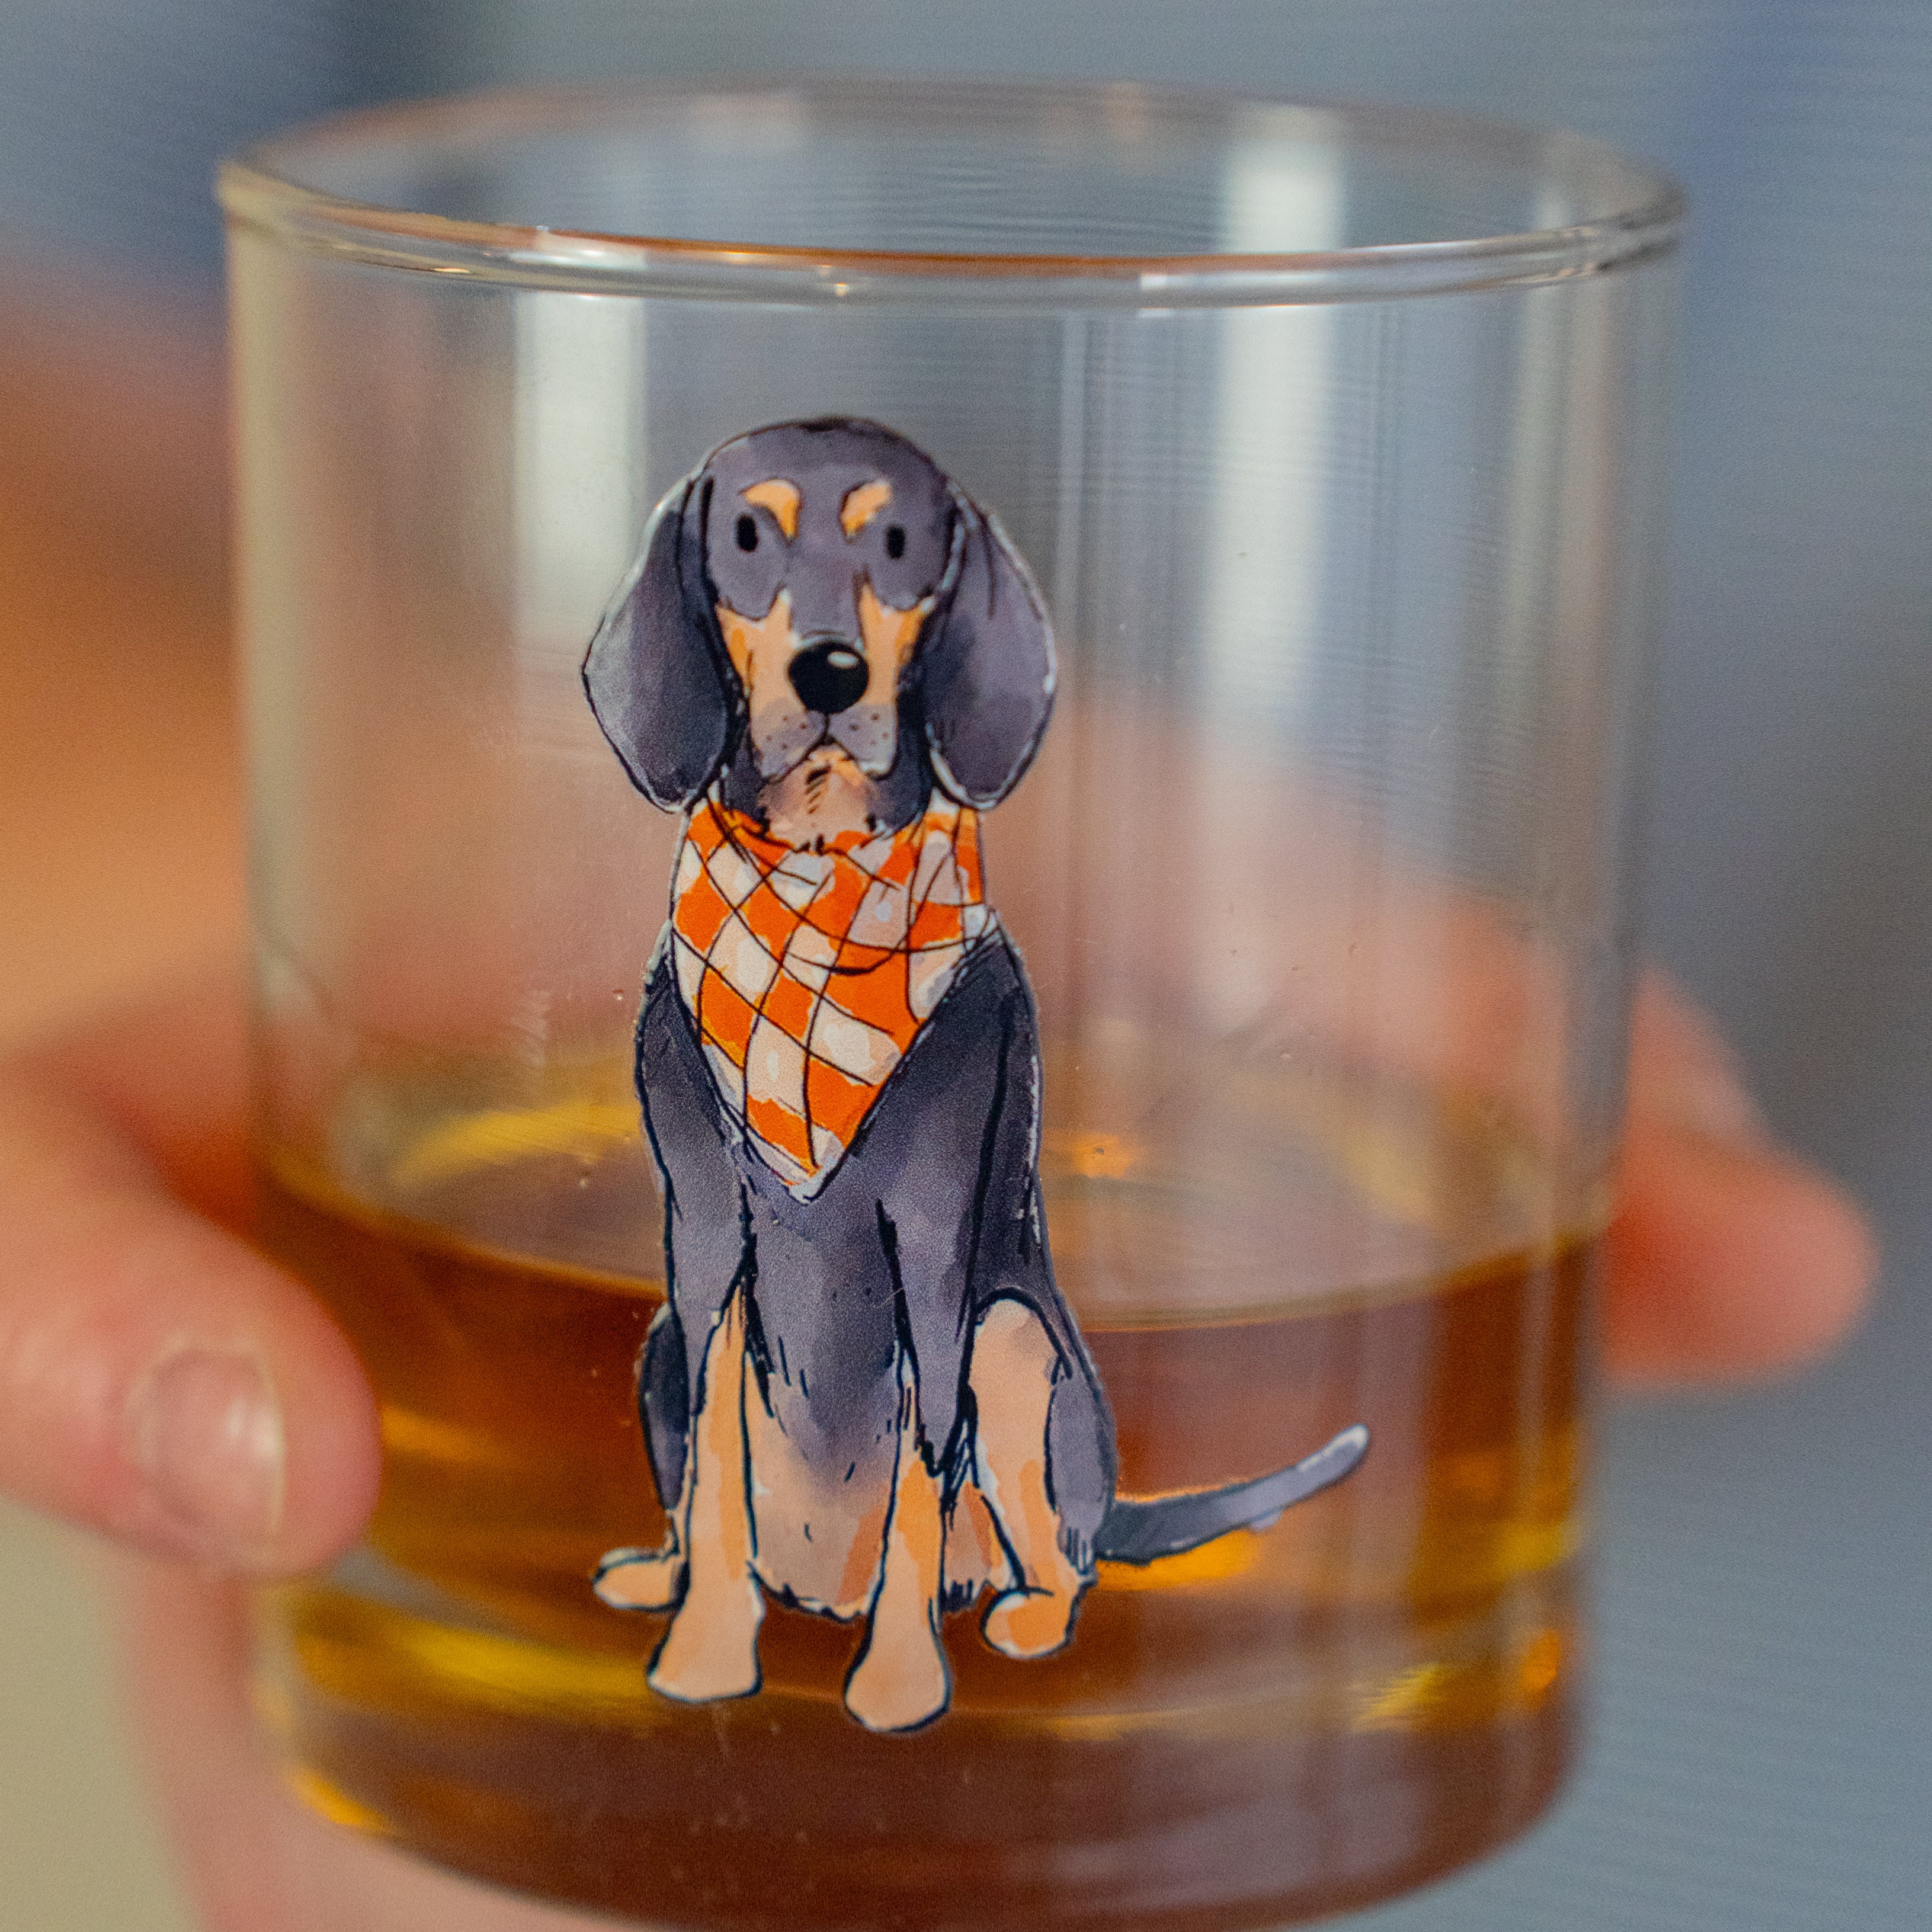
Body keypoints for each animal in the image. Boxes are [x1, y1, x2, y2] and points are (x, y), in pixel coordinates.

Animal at [583, 417, 1368, 1734]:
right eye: (744, 535)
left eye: (900, 543)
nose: (831, 672)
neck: (818, 877)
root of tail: (819, 1587)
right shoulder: (705, 1225)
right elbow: (718, 1472)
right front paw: (702, 1655)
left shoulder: (935, 1241)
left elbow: (919, 1476)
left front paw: (901, 1683)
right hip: (656, 1342)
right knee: (703, 1491)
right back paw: (668, 1572)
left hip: (1016, 1344)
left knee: (1055, 1551)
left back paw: (1024, 1617)